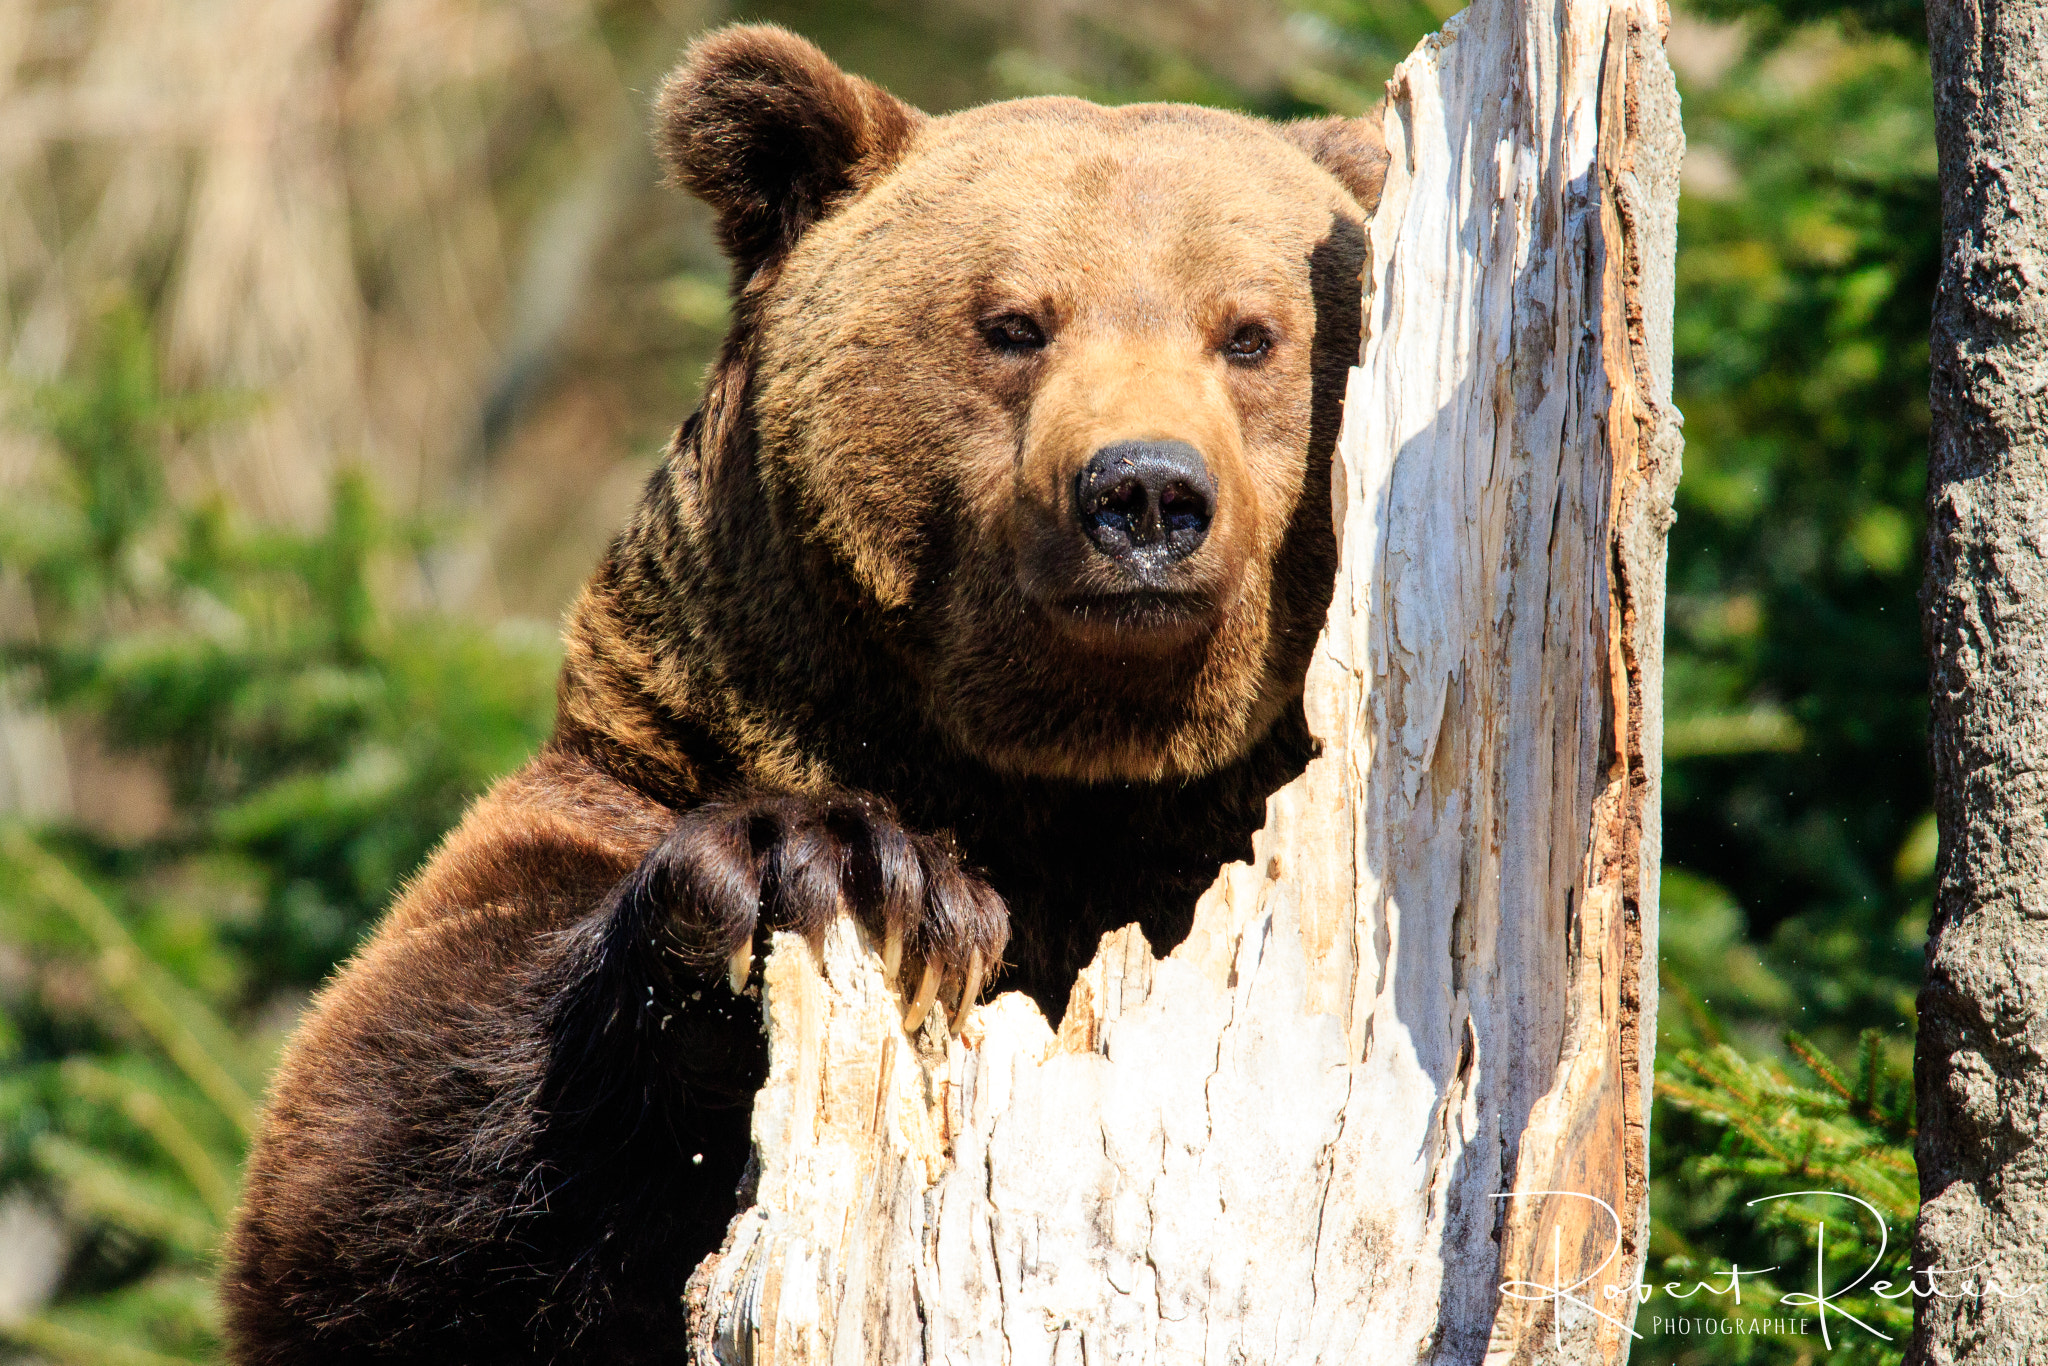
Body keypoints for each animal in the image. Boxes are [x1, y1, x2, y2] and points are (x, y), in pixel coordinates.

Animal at [221, 24, 1386, 1365]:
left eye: (1249, 333)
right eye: (1012, 323)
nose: (1141, 492)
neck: (1061, 778)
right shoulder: (655, 755)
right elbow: (371, 1136)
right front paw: (839, 862)